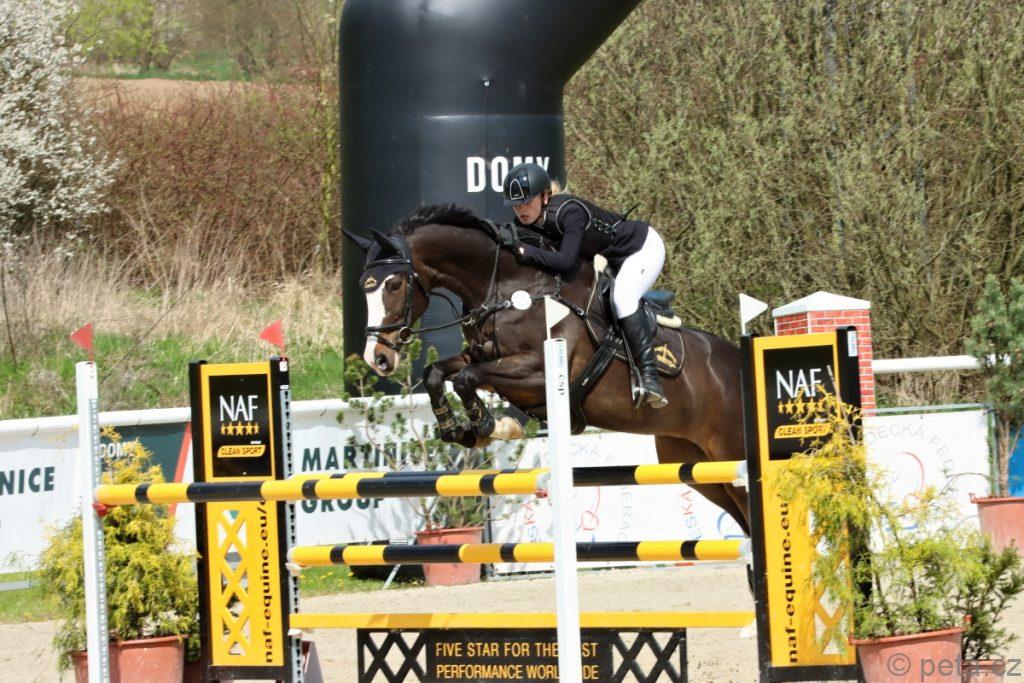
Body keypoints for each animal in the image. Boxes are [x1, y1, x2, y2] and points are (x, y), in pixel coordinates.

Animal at [345, 204, 749, 534]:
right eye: (363, 288)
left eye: (394, 284)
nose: (377, 358)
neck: (511, 288)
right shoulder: (480, 356)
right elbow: (437, 373)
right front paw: (458, 429)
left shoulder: (539, 375)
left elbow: (466, 379)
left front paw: (489, 426)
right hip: (695, 465)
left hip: (731, 455)